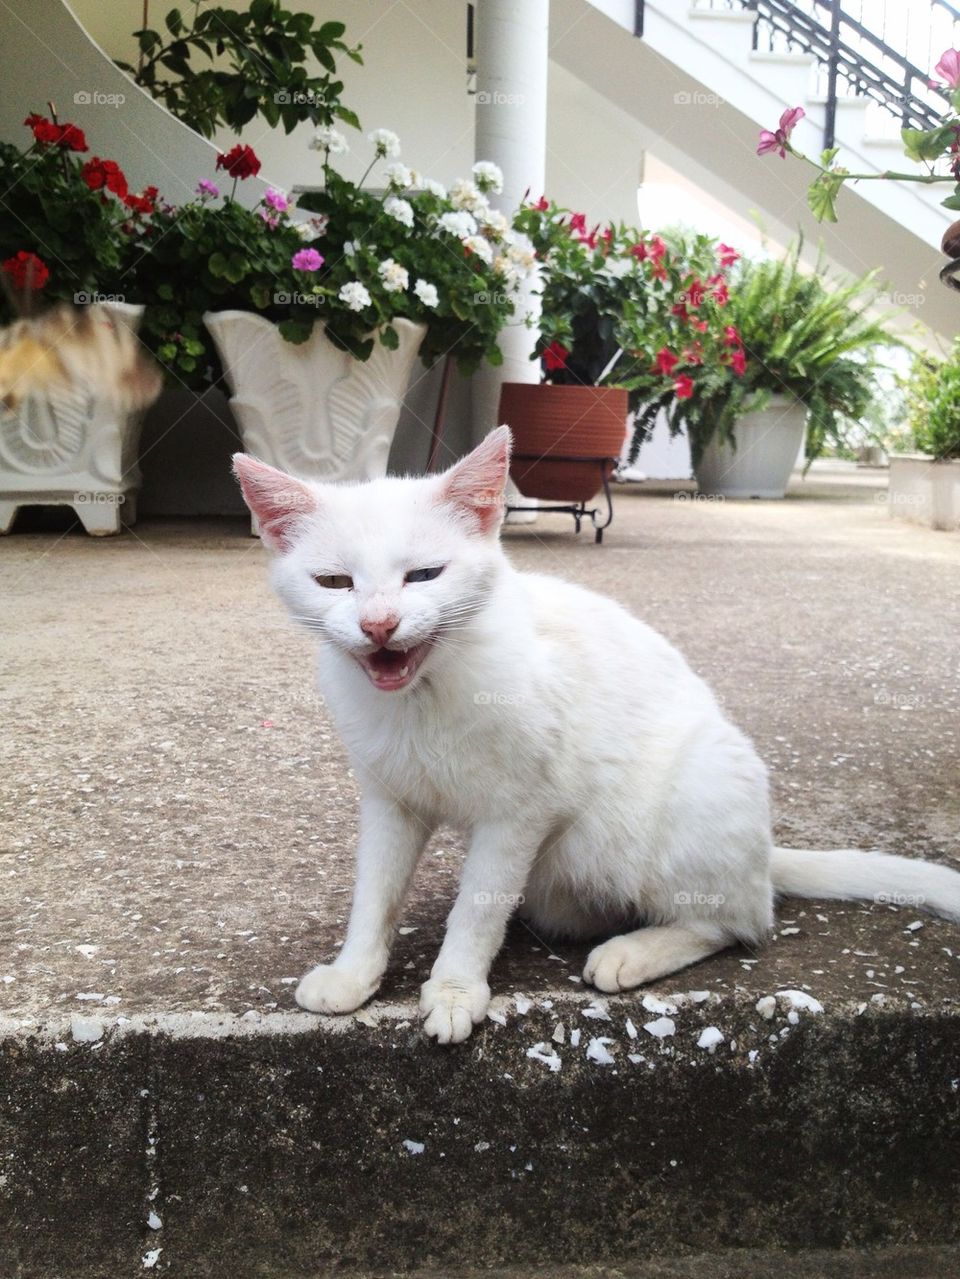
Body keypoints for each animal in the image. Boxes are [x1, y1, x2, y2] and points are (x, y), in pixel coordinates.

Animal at [232, 424, 960, 1043]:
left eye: (424, 575)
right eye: (333, 581)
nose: (379, 625)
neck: (425, 694)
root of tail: (762, 852)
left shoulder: (518, 813)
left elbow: (476, 908)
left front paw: (456, 988)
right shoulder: (390, 802)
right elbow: (375, 896)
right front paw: (356, 972)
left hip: (694, 794)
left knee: (738, 919)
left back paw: (634, 951)